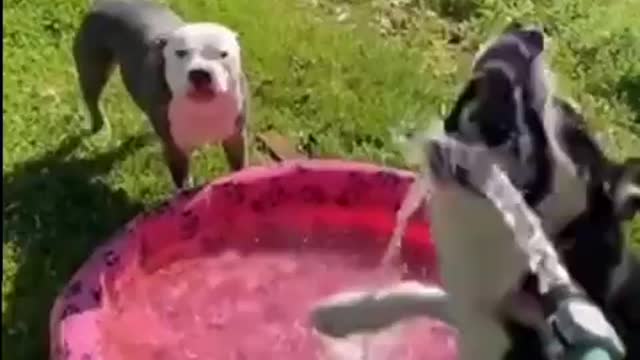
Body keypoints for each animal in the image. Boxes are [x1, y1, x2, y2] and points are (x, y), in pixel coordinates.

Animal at [72, 0, 248, 190]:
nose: (199, 73)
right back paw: (99, 126)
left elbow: (239, 166)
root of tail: (106, 3)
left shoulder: (235, 138)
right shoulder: (175, 150)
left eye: (223, 54)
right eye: (180, 53)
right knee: (92, 100)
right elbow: (183, 183)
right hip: (94, 70)